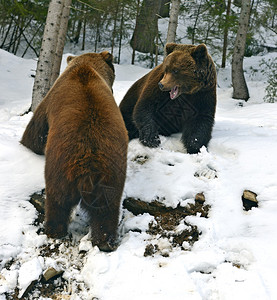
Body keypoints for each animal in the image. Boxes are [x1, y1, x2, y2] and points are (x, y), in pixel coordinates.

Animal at [21, 51, 128, 251]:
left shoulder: (49, 101)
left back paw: (54, 229)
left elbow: (36, 131)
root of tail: (88, 165)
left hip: (59, 169)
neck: (86, 68)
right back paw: (106, 241)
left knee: (58, 203)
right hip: (111, 174)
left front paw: (25, 144)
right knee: (107, 211)